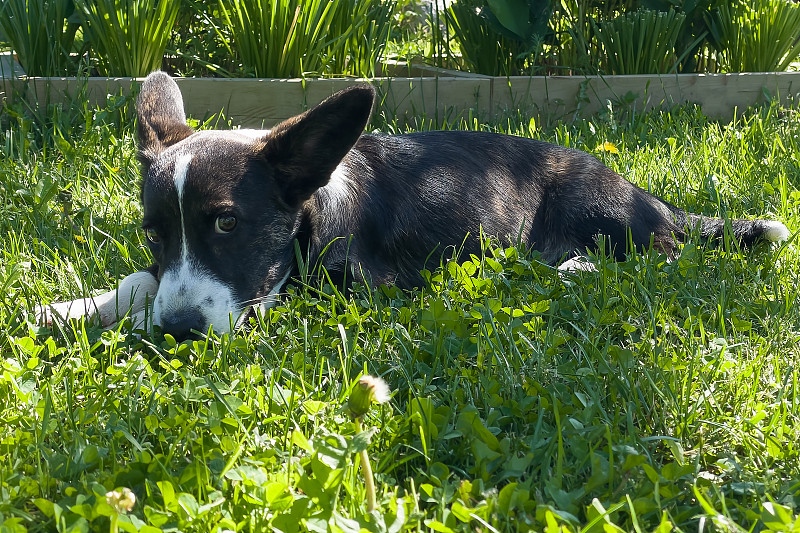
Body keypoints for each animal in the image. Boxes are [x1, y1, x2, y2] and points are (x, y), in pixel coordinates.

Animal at [39, 70, 788, 338]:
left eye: (227, 222)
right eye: (154, 232)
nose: (175, 333)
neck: (317, 211)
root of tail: (649, 196)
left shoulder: (349, 287)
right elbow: (140, 281)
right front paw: (72, 308)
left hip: (603, 211)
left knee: (664, 254)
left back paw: (574, 268)